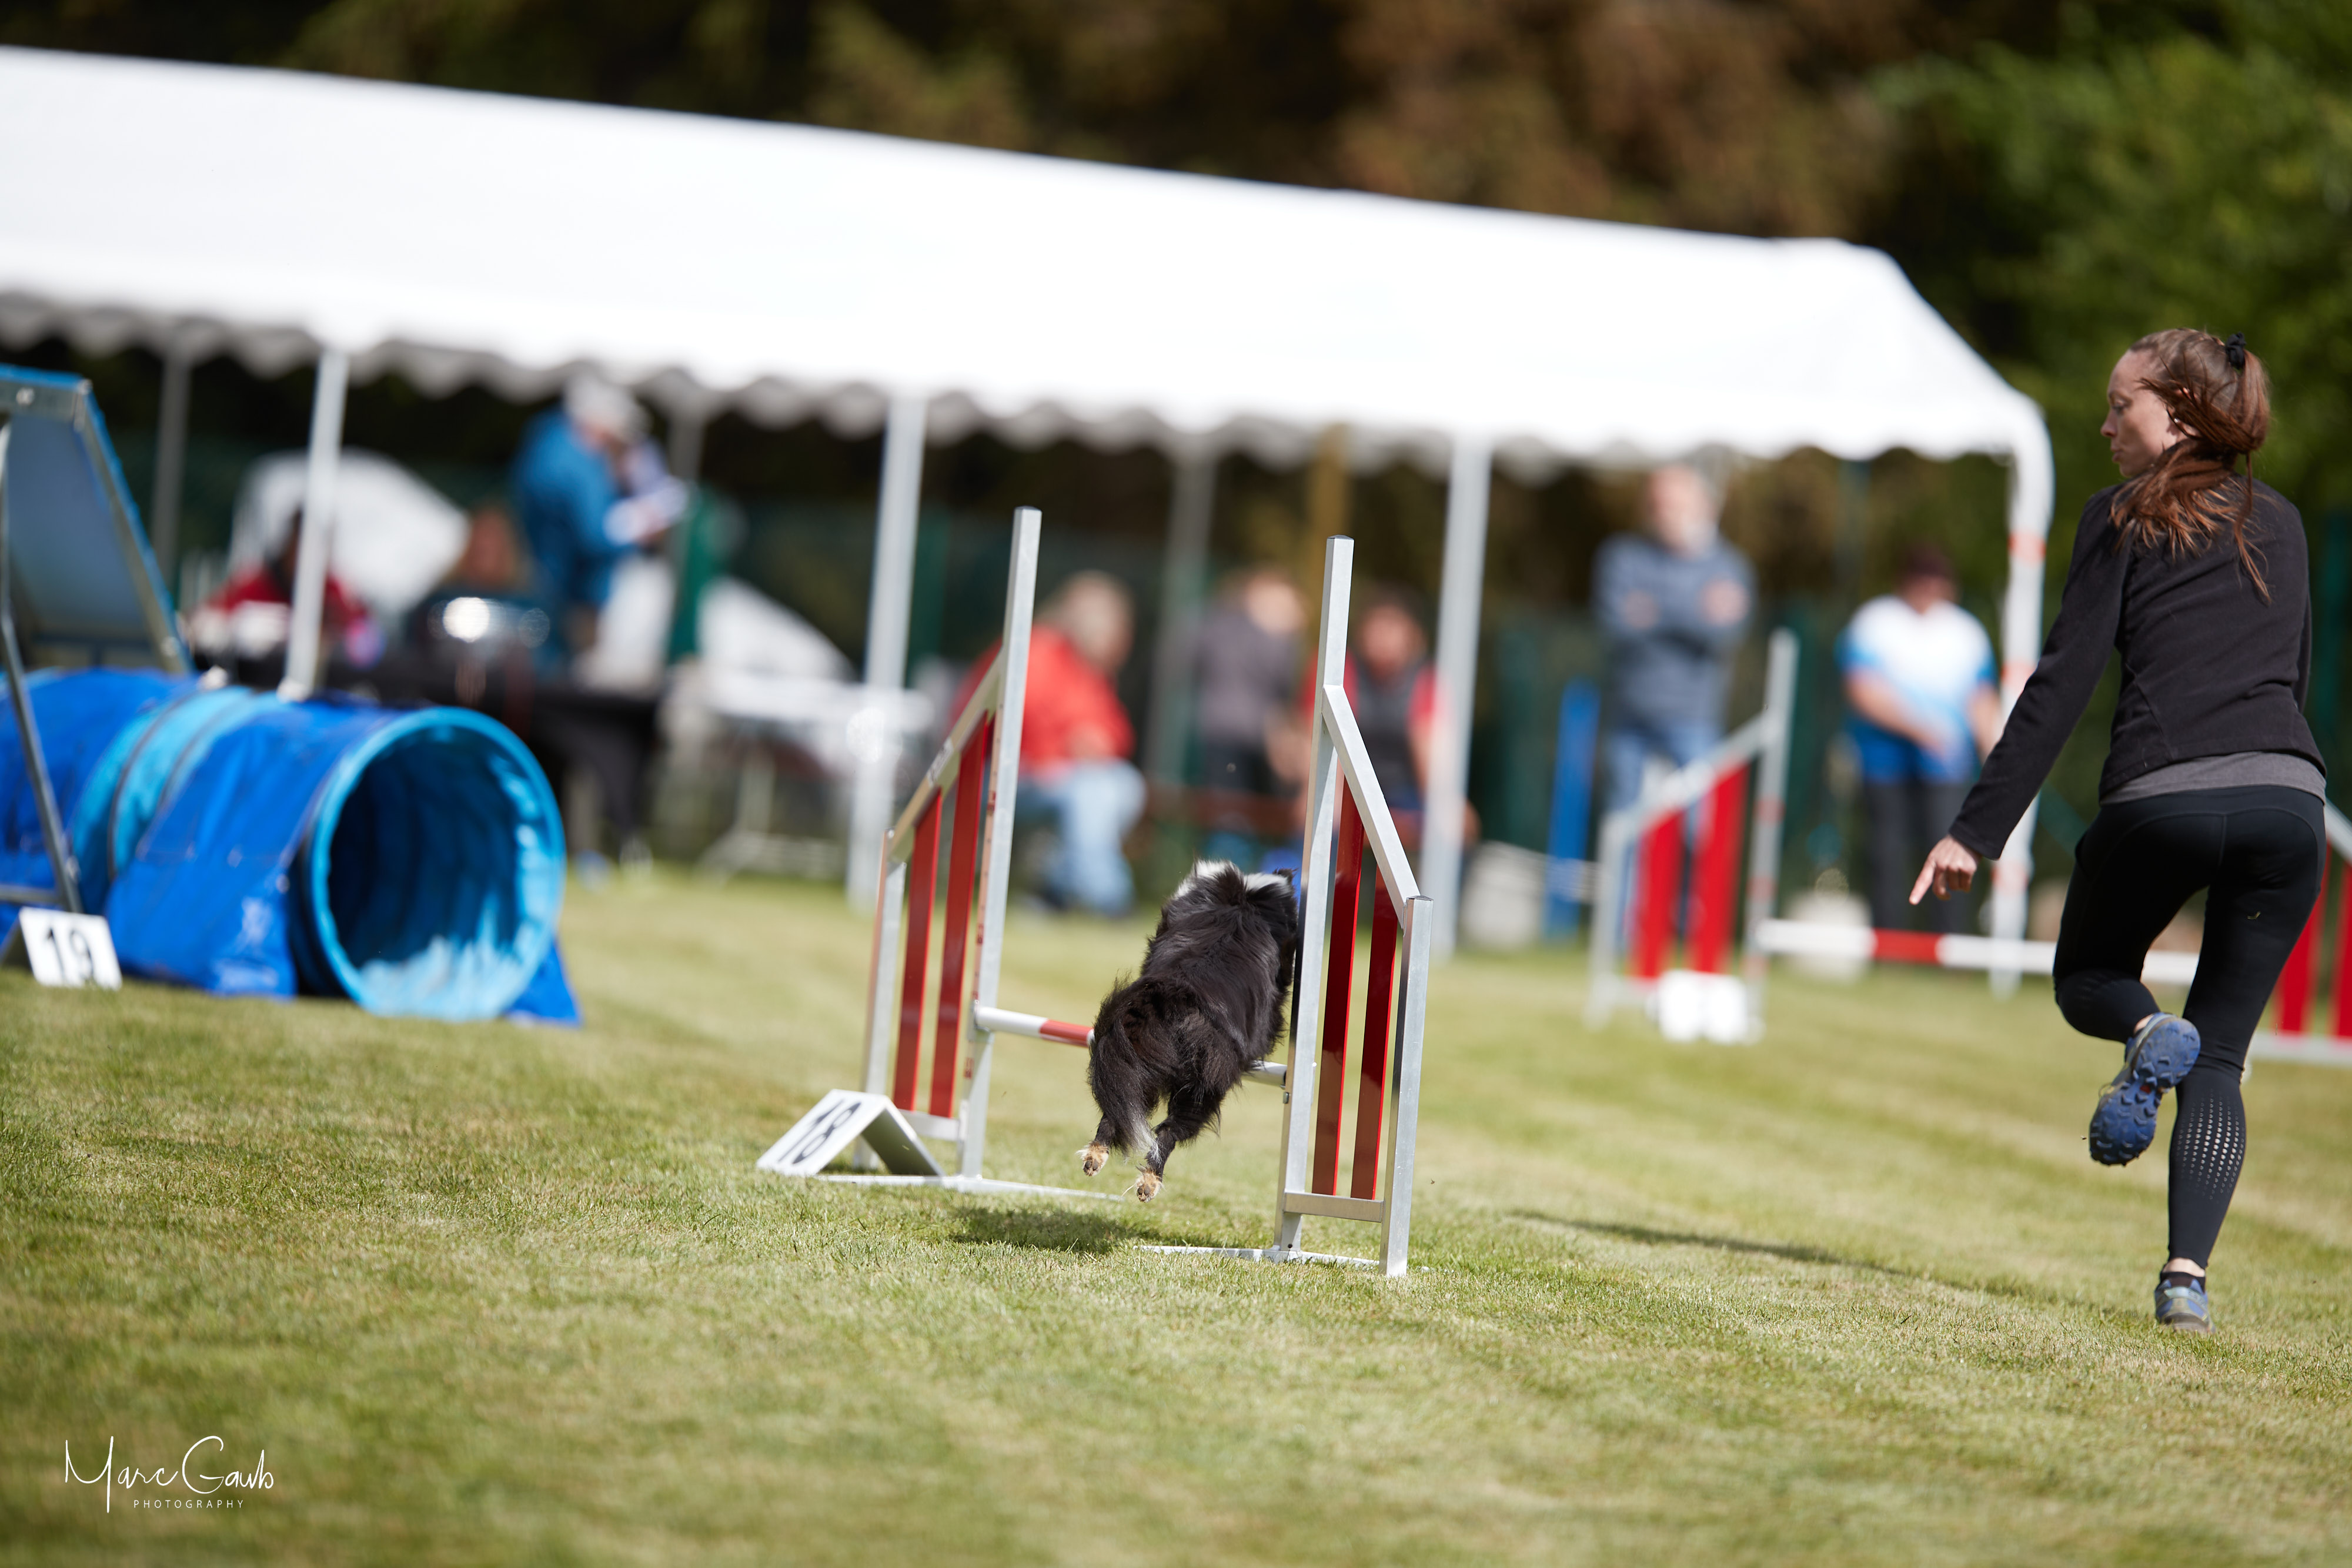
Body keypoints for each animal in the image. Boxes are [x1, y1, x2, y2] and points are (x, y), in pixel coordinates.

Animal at [1080, 861, 1300, 1201]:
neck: (1243, 902)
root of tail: (1175, 994)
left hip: (1133, 1063)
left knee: (1117, 1109)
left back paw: (1095, 1157)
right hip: (1204, 1085)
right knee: (1168, 1132)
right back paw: (1150, 1182)